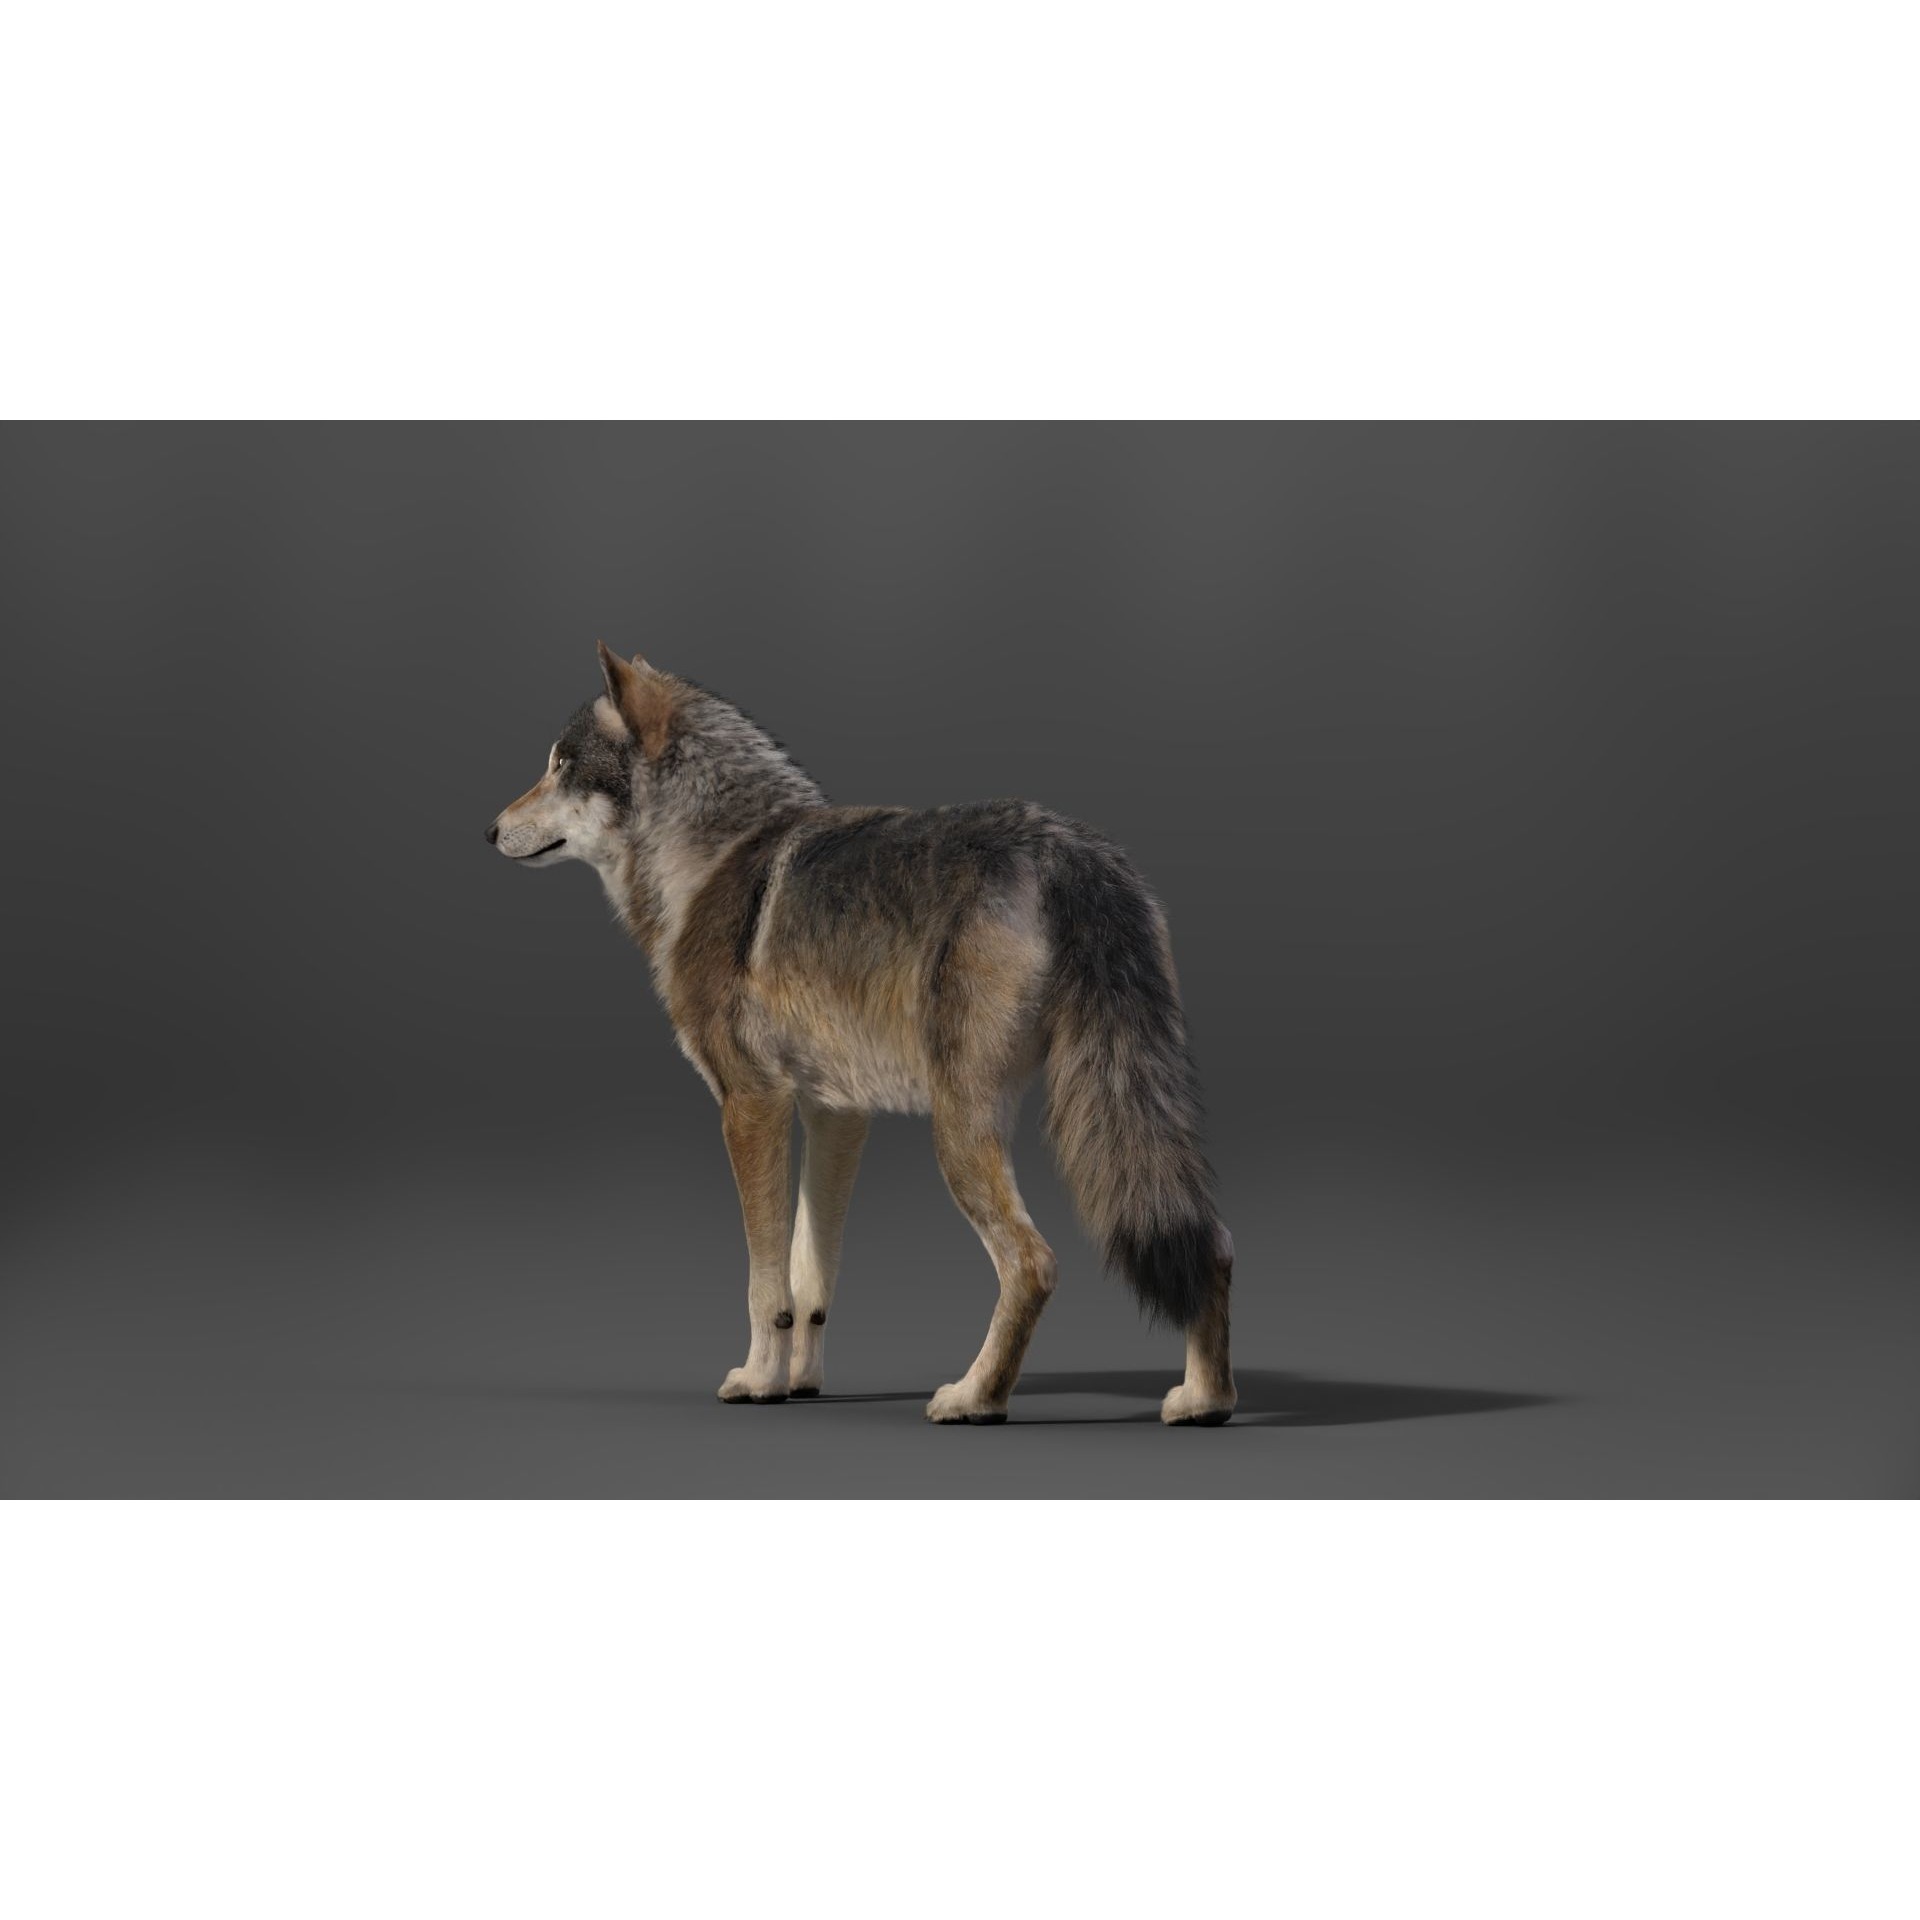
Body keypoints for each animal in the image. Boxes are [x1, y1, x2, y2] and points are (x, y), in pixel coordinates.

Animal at [487, 644, 1236, 1425]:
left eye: (561, 765)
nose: (488, 830)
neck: (713, 857)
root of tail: (1066, 847)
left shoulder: (750, 1104)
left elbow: (764, 1280)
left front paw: (759, 1382)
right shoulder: (836, 1113)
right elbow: (809, 1276)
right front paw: (800, 1382)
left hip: (960, 1132)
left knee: (1034, 1264)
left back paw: (975, 1398)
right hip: (1119, 1108)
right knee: (1209, 1247)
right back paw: (1204, 1400)